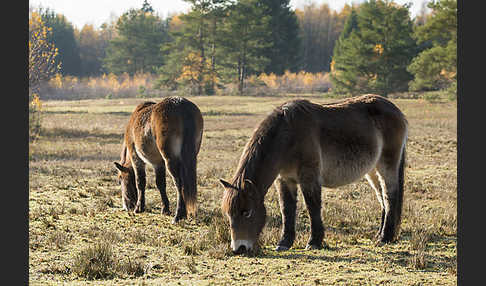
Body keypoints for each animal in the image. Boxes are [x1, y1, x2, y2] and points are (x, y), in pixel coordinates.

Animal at [219, 94, 406, 252]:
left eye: (247, 212)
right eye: (228, 214)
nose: (239, 249)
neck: (288, 135)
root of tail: (396, 111)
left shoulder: (309, 177)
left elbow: (312, 206)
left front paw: (314, 242)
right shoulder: (285, 179)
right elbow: (287, 209)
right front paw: (284, 242)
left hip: (386, 165)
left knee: (390, 196)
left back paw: (385, 237)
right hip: (372, 170)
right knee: (382, 198)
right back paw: (379, 234)